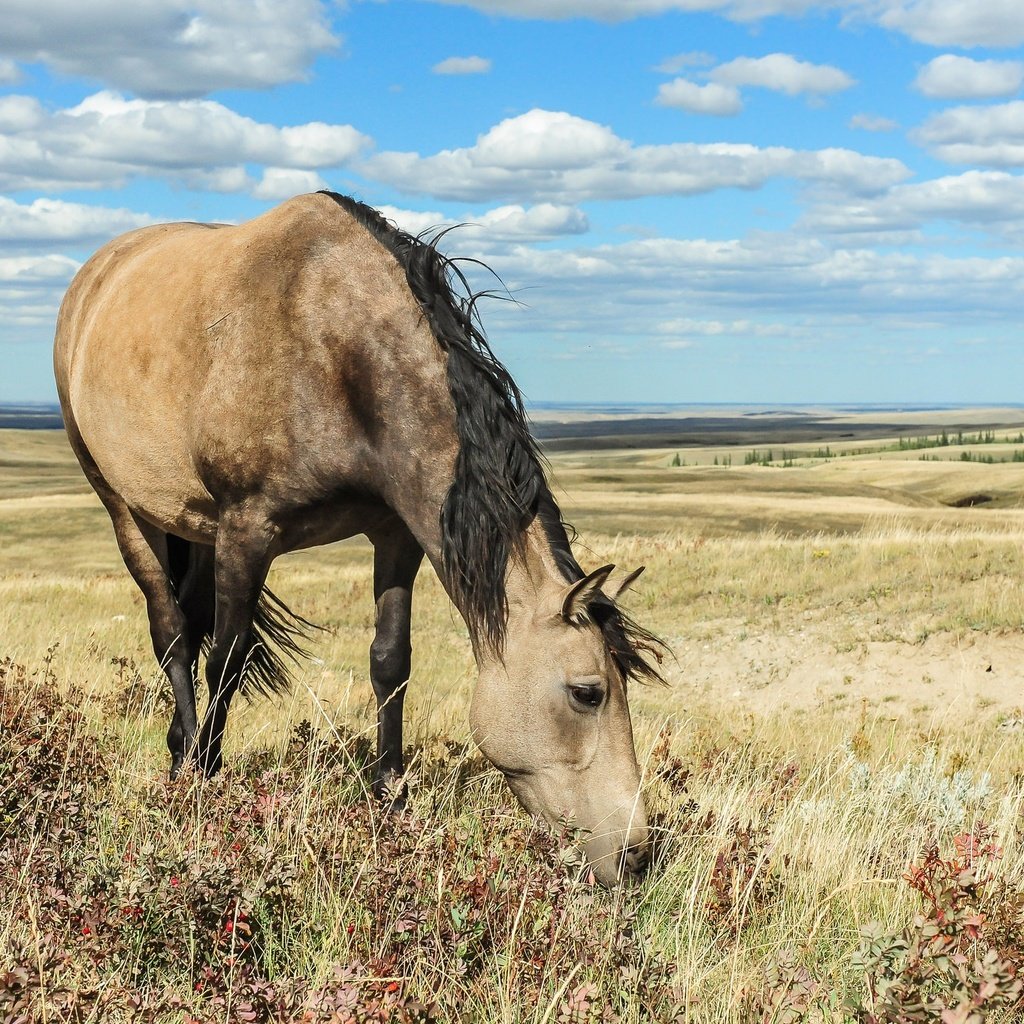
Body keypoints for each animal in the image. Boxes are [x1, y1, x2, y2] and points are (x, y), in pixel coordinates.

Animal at [54, 195, 663, 884]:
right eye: (588, 693)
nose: (638, 855)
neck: (336, 347)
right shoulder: (247, 532)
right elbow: (226, 662)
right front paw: (207, 788)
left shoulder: (396, 533)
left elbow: (390, 662)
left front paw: (390, 797)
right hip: (123, 506)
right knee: (174, 634)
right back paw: (185, 762)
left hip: (193, 524)